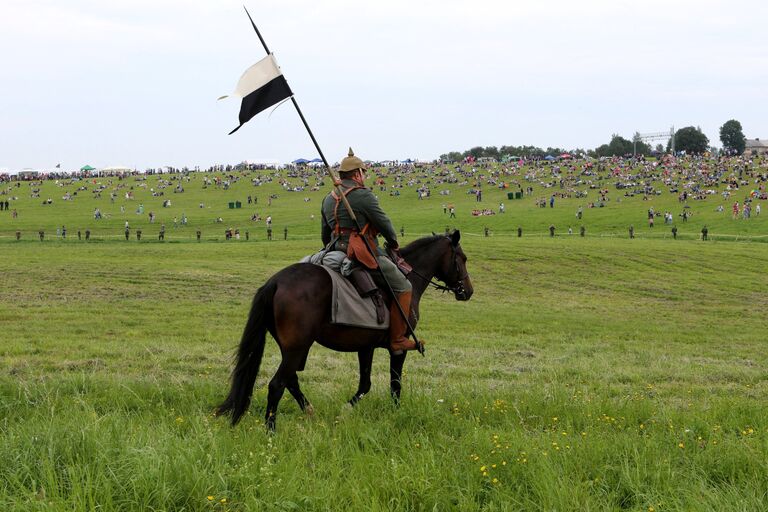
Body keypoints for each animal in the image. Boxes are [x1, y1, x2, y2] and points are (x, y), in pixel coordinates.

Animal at [216, 230, 474, 430]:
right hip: (296, 349)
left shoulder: (366, 347)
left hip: (292, 349)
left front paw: (345, 411)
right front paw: (396, 413)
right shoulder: (398, 347)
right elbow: (395, 384)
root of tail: (276, 281)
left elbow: (365, 384)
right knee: (277, 384)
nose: (468, 291)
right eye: (462, 258)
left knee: (291, 380)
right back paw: (271, 430)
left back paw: (310, 412)